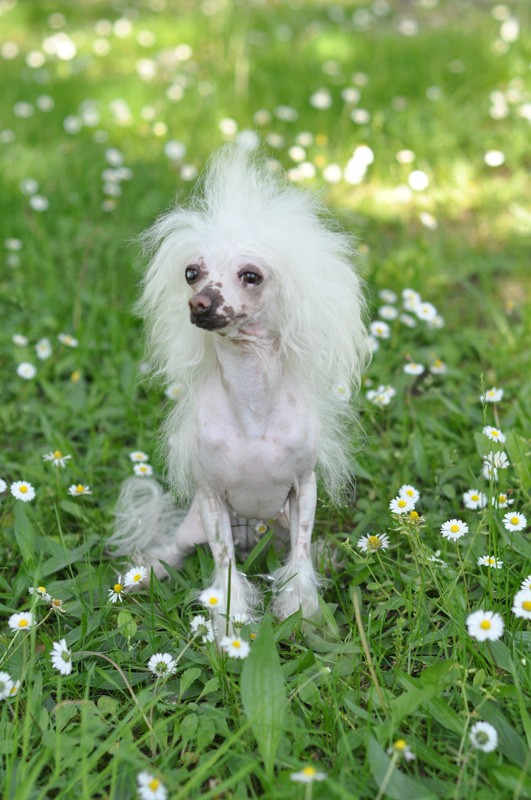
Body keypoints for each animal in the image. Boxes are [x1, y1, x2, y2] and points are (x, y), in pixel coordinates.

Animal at [109, 143, 369, 640]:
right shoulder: (213, 500)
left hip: (279, 522)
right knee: (176, 548)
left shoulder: (303, 490)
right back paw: (148, 572)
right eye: (191, 273)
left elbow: (300, 558)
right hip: (195, 525)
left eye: (251, 276)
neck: (252, 407)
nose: (199, 303)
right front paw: (229, 622)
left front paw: (302, 611)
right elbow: (225, 566)